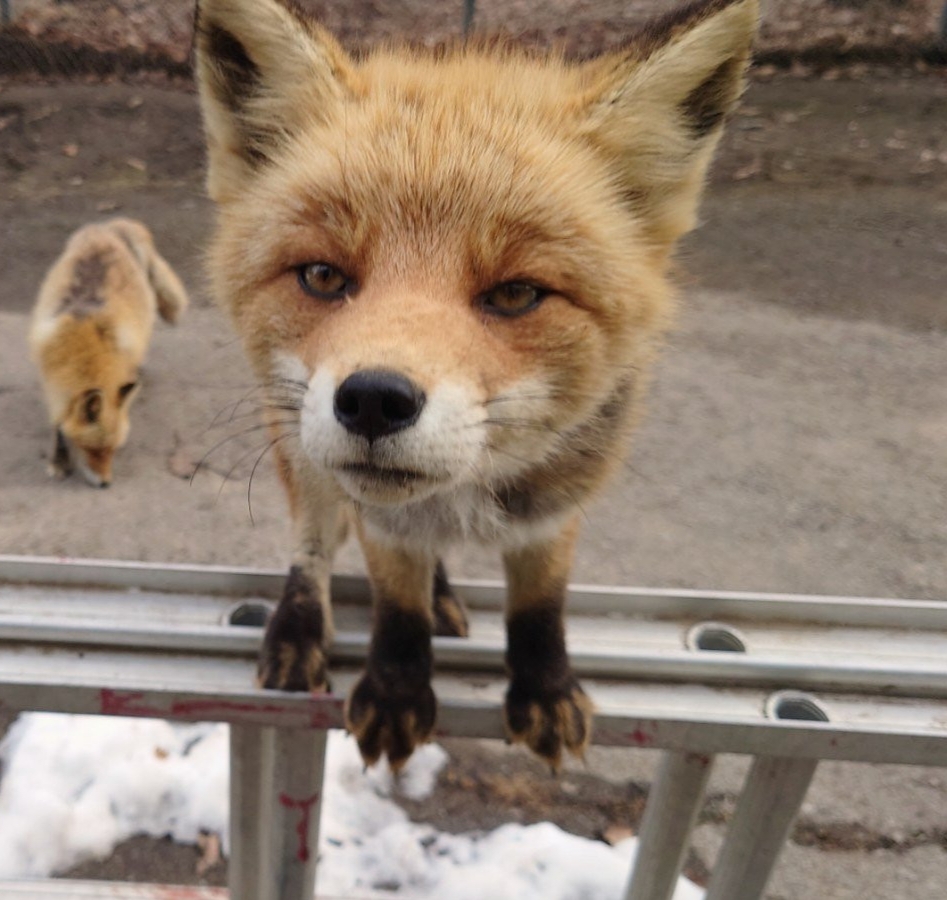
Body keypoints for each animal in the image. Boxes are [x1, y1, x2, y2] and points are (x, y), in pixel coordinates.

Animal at [28, 218, 188, 487]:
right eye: (93, 450)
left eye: (114, 450)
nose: (106, 484)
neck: (82, 350)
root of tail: (109, 225)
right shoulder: (53, 385)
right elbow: (58, 425)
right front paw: (59, 461)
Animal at [194, 0, 758, 769]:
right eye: (322, 276)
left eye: (517, 293)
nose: (373, 400)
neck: (464, 499)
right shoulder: (379, 520)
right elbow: (395, 606)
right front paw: (398, 692)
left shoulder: (557, 507)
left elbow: (539, 606)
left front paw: (544, 690)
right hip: (296, 448)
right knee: (311, 544)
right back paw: (299, 628)